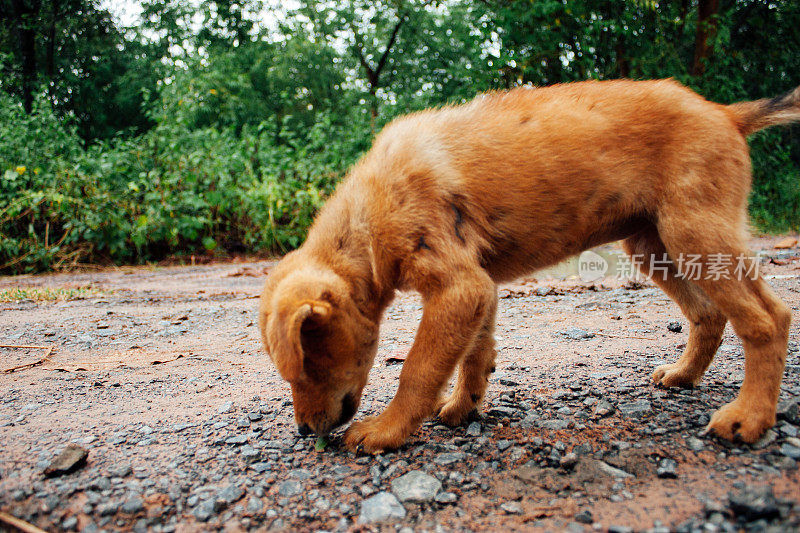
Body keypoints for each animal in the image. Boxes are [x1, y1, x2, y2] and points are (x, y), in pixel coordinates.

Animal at [260, 80, 796, 454]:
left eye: (307, 363)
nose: (304, 432)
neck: (367, 217)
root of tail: (724, 111)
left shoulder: (459, 288)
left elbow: (418, 369)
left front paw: (386, 431)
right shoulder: (480, 288)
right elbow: (474, 356)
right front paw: (464, 408)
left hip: (695, 233)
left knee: (767, 319)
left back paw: (749, 417)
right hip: (654, 244)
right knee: (718, 313)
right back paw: (685, 376)